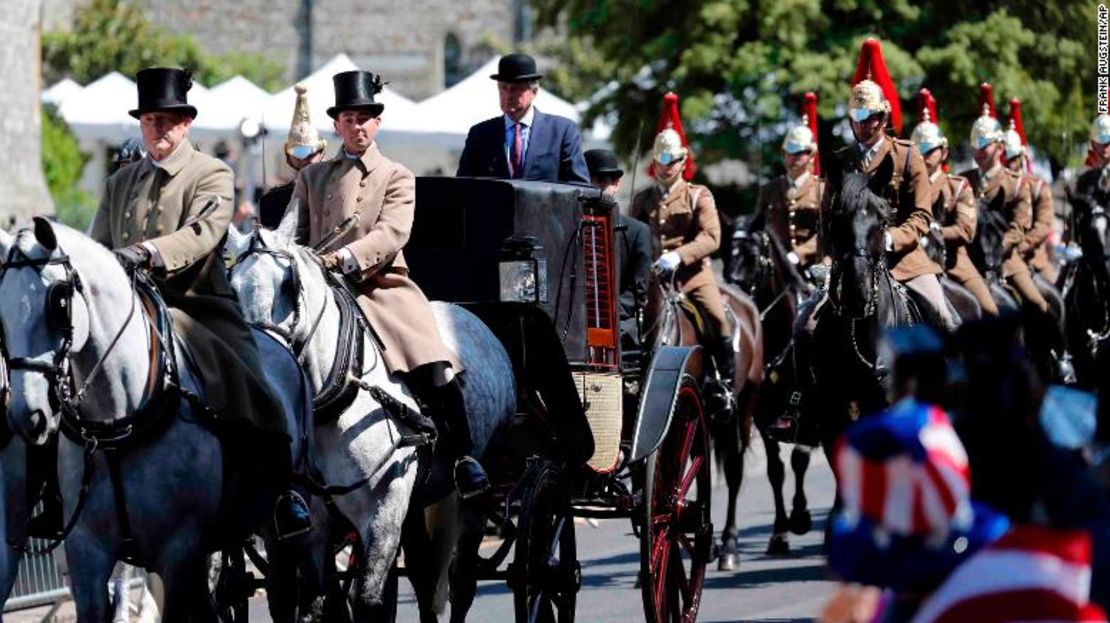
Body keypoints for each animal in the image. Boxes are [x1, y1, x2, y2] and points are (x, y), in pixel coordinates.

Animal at [0, 217, 308, 617]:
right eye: (2, 314)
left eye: (59, 302)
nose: (28, 415)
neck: (117, 426)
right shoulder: (86, 555)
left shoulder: (178, 554)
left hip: (276, 527)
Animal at [226, 215, 519, 621]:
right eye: (231, 288)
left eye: (289, 283)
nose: (261, 365)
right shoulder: (311, 527)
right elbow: (317, 602)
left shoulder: (382, 513)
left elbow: (366, 602)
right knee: (423, 573)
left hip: (478, 491)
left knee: (462, 579)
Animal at [732, 225, 821, 555]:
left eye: (755, 256)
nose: (737, 295)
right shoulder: (762, 419)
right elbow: (776, 470)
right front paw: (779, 532)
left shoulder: (810, 416)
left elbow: (799, 459)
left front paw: (800, 516)